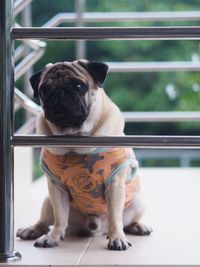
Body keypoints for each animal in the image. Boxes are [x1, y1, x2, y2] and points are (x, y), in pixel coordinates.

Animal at [16, 59, 152, 251]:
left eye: (78, 86)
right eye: (44, 89)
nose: (59, 92)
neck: (74, 139)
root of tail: (94, 227)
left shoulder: (115, 184)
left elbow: (115, 218)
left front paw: (117, 238)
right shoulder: (56, 189)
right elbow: (60, 218)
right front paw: (52, 238)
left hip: (138, 202)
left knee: (126, 221)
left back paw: (138, 227)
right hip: (48, 201)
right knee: (47, 221)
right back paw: (33, 230)